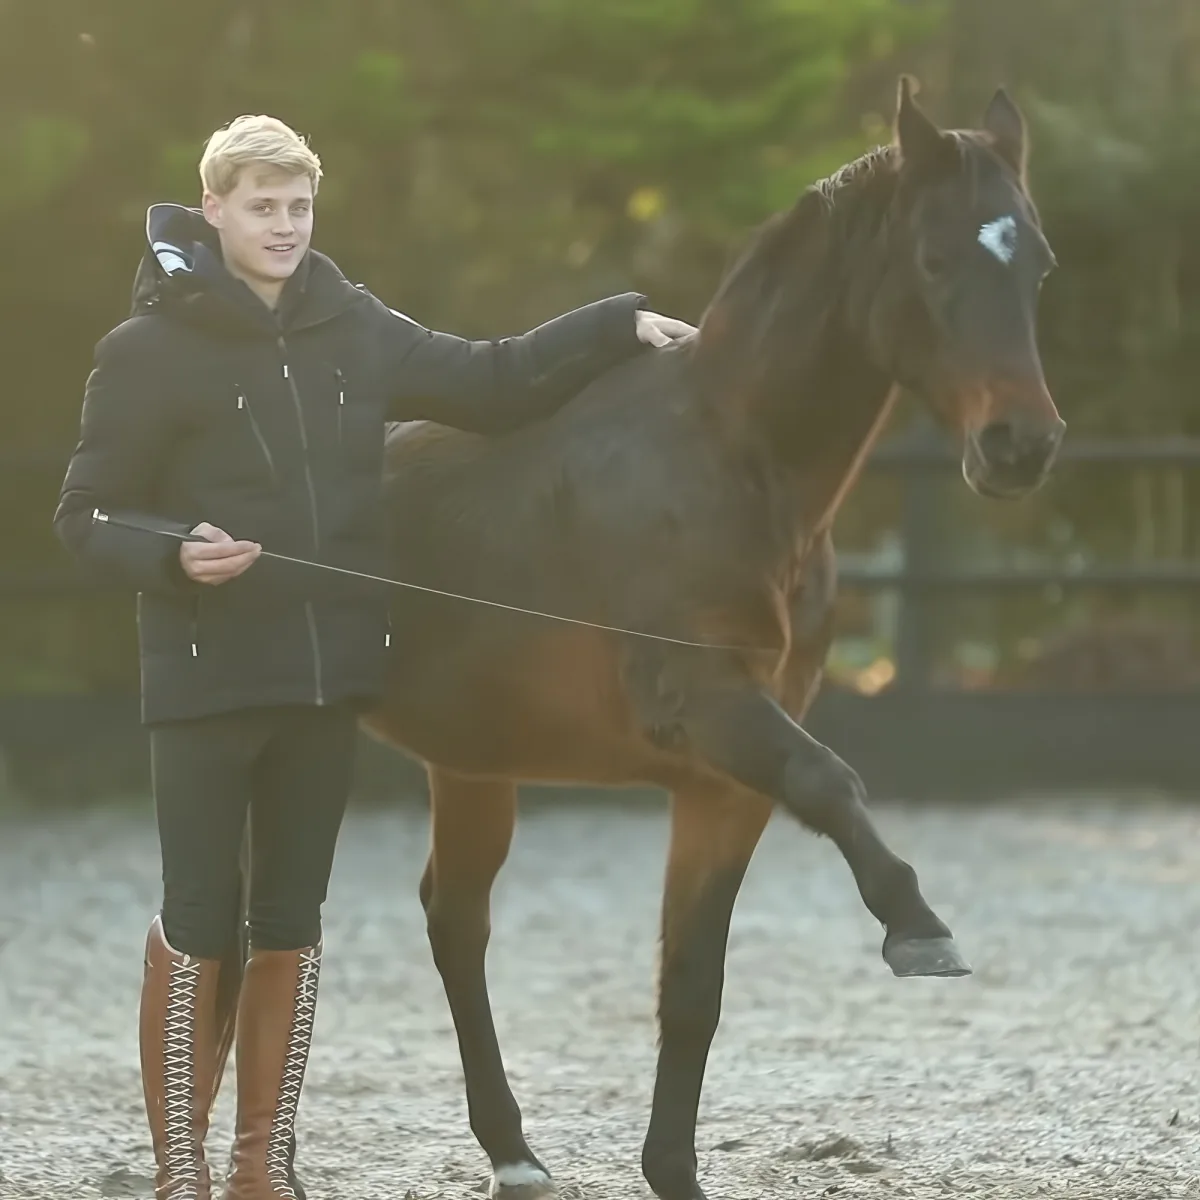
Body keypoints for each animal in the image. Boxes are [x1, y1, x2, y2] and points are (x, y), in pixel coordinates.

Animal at [360, 76, 1065, 1200]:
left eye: (1036, 263)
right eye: (932, 258)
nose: (1020, 445)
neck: (728, 460)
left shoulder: (722, 783)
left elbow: (693, 984)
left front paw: (672, 1169)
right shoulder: (710, 707)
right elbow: (832, 782)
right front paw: (918, 928)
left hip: (470, 762)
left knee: (454, 921)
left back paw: (513, 1151)